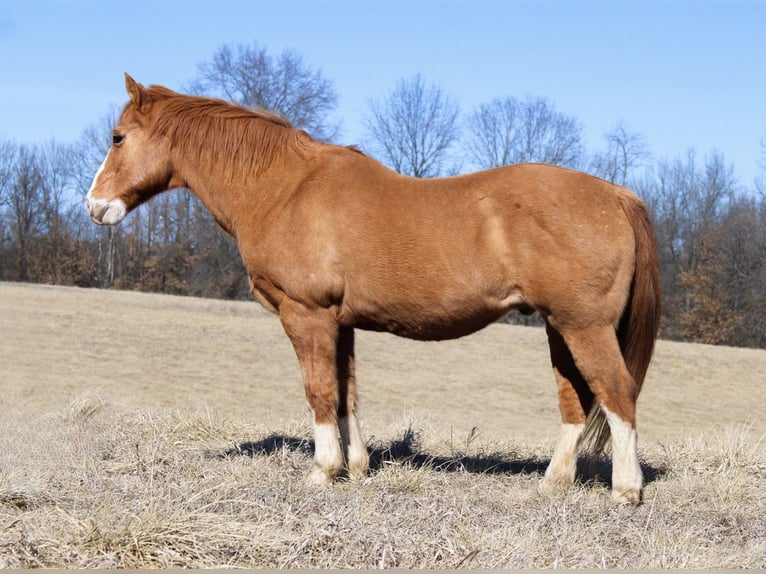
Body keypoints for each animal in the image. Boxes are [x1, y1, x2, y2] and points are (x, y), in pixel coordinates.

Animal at [86, 74, 661, 504]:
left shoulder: (306, 314)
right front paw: (357, 467)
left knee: (616, 392)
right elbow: (347, 393)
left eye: (117, 137)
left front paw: (322, 471)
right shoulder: (340, 322)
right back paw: (552, 483)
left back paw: (625, 490)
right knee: (577, 399)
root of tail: (618, 195)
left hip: (584, 326)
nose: (94, 207)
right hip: (559, 327)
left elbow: (319, 391)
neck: (284, 188)